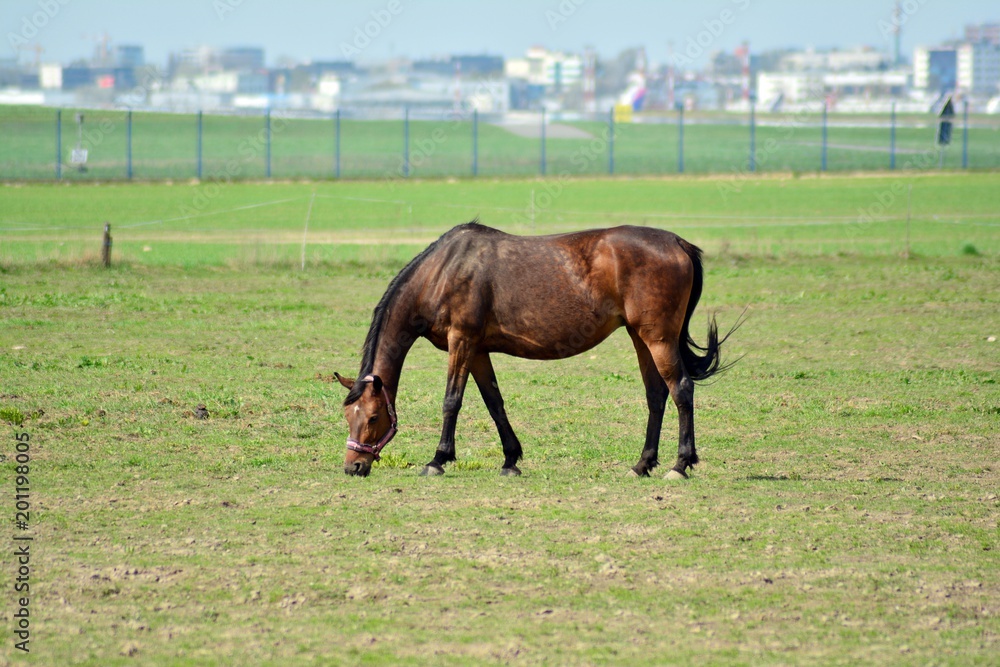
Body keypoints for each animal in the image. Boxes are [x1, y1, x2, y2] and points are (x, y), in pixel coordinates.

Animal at [336, 223, 736, 480]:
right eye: (348, 416)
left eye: (373, 417)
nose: (353, 466)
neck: (444, 271)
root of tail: (679, 244)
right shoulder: (477, 350)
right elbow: (494, 402)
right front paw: (510, 459)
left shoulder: (461, 341)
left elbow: (452, 401)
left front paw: (438, 460)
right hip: (641, 337)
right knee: (656, 395)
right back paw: (642, 465)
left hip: (659, 338)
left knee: (681, 390)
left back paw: (680, 465)